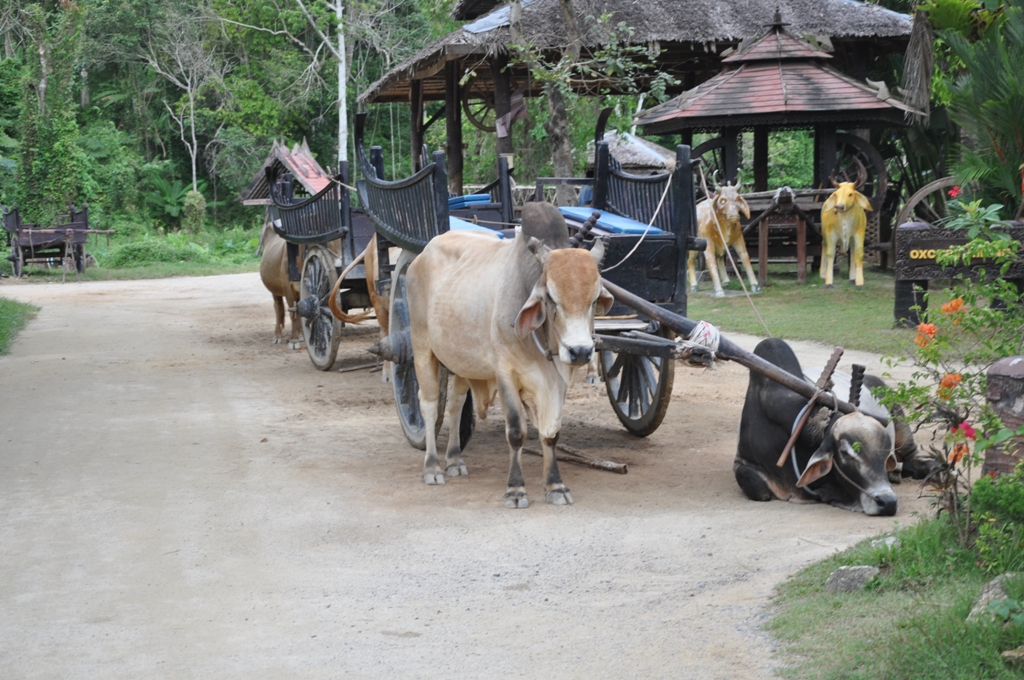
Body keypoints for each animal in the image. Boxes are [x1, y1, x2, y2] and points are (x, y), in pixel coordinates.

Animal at [405, 202, 612, 508]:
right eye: (551, 298)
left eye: (595, 298)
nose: (580, 351)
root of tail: (423, 252)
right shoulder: (505, 374)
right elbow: (516, 431)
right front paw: (516, 489)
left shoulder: (557, 382)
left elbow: (551, 434)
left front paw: (555, 485)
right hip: (421, 347)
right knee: (429, 406)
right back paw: (432, 466)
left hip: (461, 362)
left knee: (455, 405)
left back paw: (454, 459)